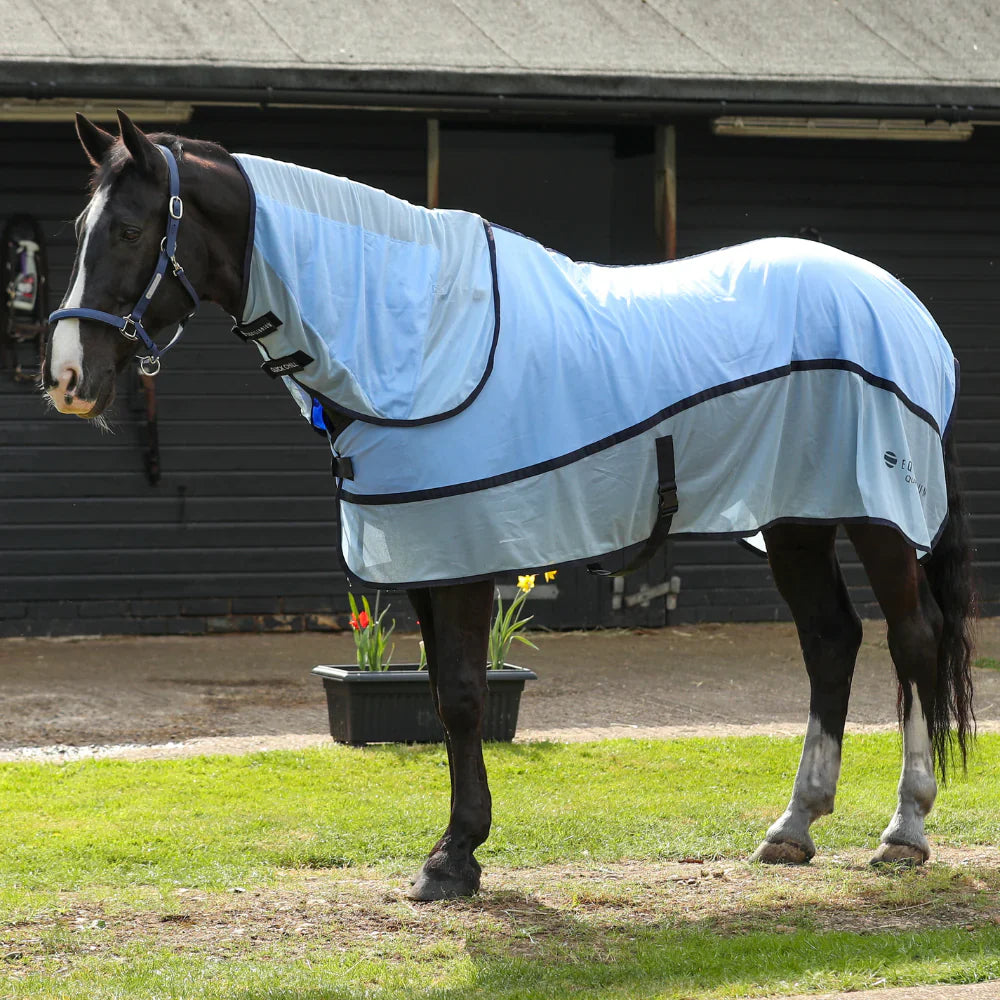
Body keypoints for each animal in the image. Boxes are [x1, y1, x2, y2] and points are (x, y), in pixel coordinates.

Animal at [43, 111, 975, 901]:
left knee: (913, 640)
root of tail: (904, 307)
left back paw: (904, 830)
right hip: (795, 519)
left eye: (129, 231)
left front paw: (452, 857)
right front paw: (456, 852)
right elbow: (444, 693)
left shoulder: (461, 552)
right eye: (81, 232)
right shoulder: (427, 551)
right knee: (831, 641)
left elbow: (462, 698)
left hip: (879, 520)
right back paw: (794, 826)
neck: (413, 332)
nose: (66, 379)